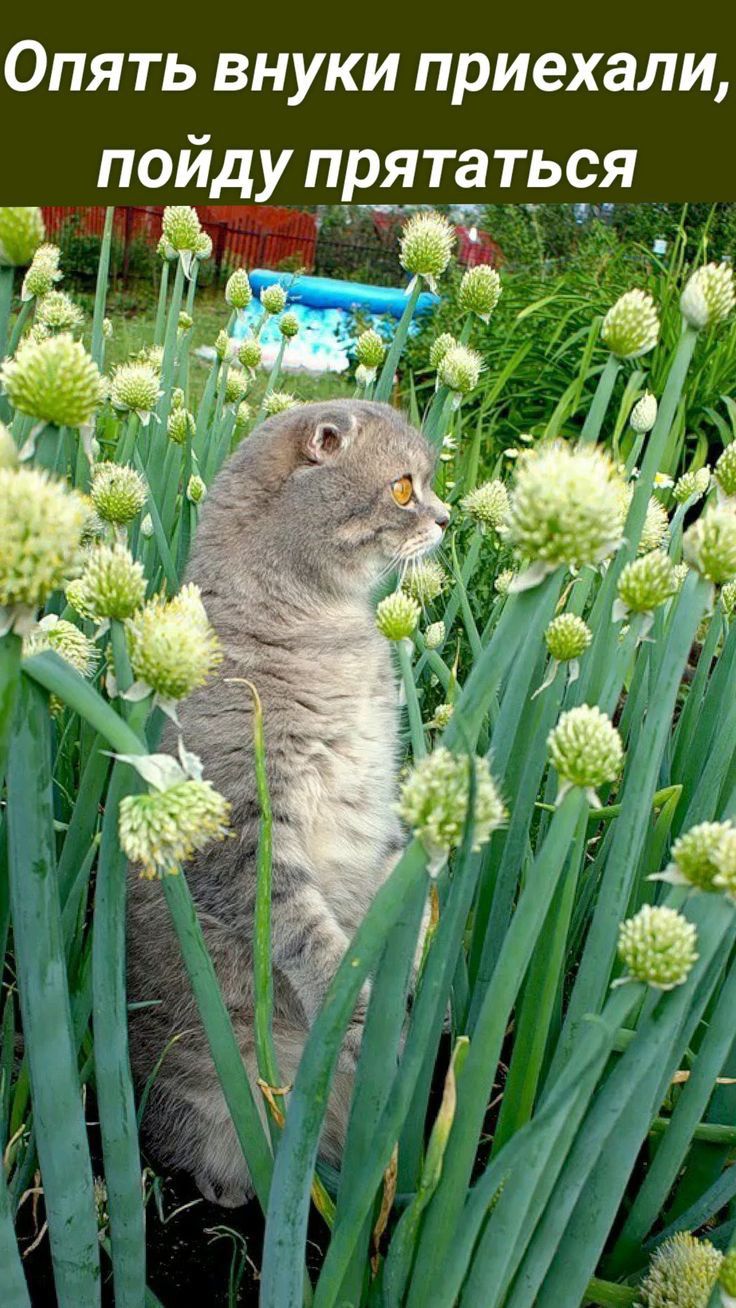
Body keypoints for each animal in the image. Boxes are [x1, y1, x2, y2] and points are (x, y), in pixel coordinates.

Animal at [126, 397, 449, 1203]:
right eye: (404, 489)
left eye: (428, 484)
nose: (448, 517)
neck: (329, 630)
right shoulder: (242, 830)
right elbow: (309, 935)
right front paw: (356, 1005)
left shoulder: (378, 800)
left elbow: (396, 872)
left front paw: (410, 956)